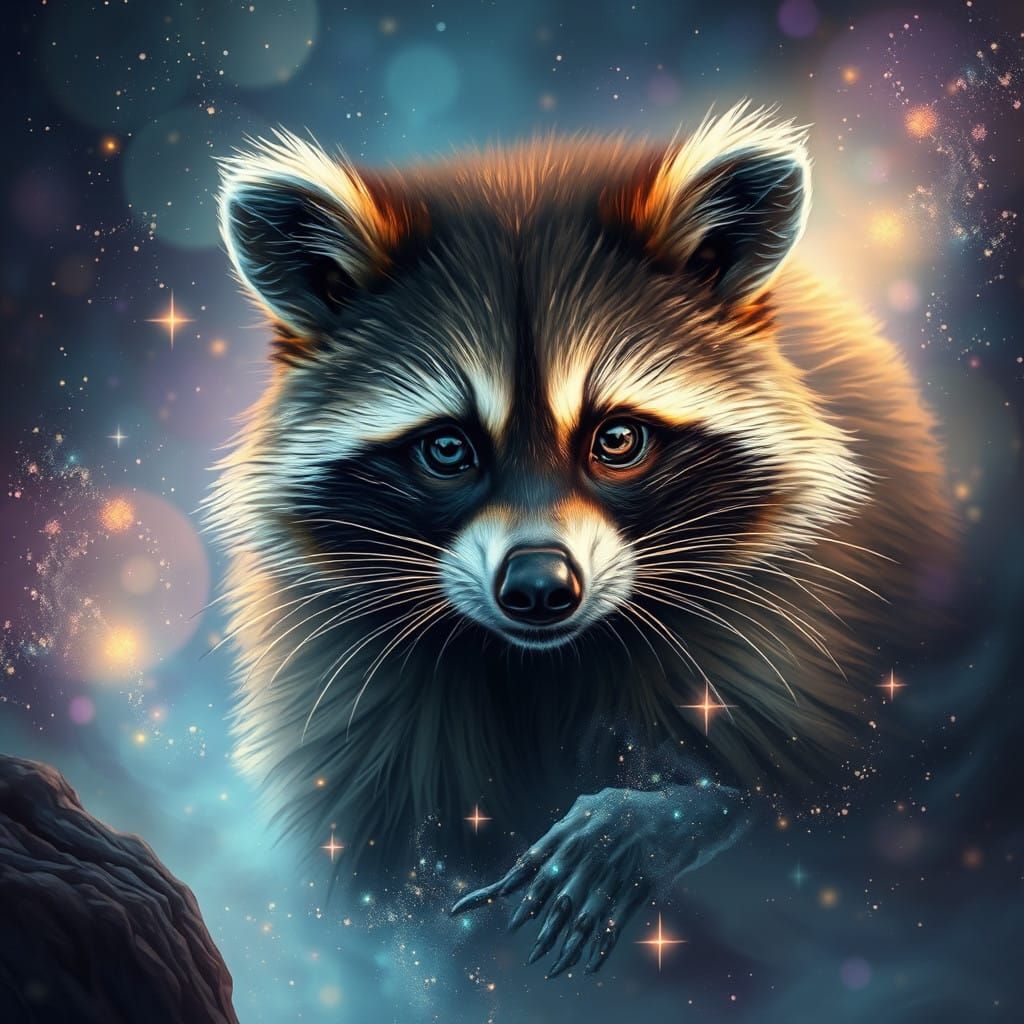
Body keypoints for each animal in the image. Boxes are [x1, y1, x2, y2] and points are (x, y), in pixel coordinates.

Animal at [208, 104, 954, 974]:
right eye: (448, 448)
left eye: (617, 439)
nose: (539, 590)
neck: (542, 662)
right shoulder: (345, 673)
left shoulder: (781, 619)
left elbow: (773, 776)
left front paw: (653, 818)